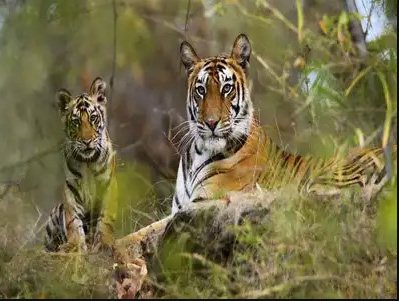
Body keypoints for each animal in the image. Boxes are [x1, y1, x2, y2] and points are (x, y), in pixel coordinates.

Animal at [45, 77, 118, 251]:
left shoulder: (108, 183)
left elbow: (106, 218)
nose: (86, 141)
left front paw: (104, 243)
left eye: (93, 118)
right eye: (76, 122)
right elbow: (73, 220)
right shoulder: (71, 187)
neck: (87, 162)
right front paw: (75, 245)